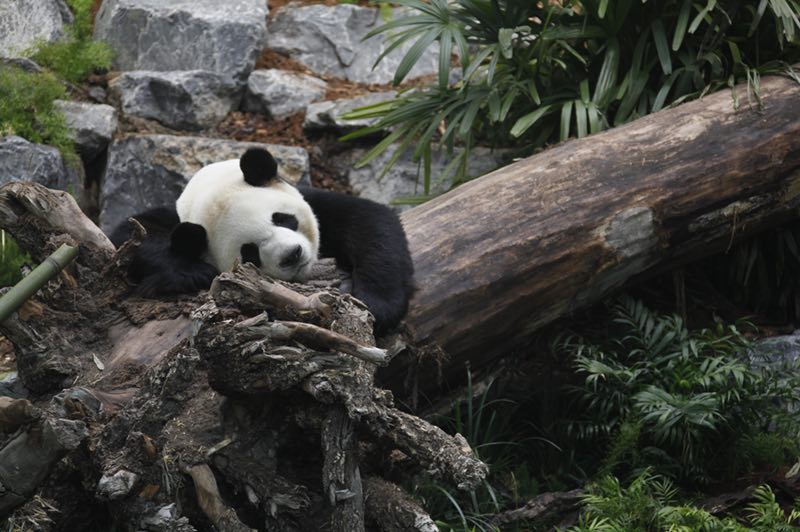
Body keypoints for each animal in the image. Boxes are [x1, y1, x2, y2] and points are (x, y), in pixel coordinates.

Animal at [107, 148, 416, 334]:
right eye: (250, 253)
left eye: (282, 219)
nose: (292, 255)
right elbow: (128, 239)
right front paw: (190, 271)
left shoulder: (313, 200)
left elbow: (368, 221)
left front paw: (375, 303)